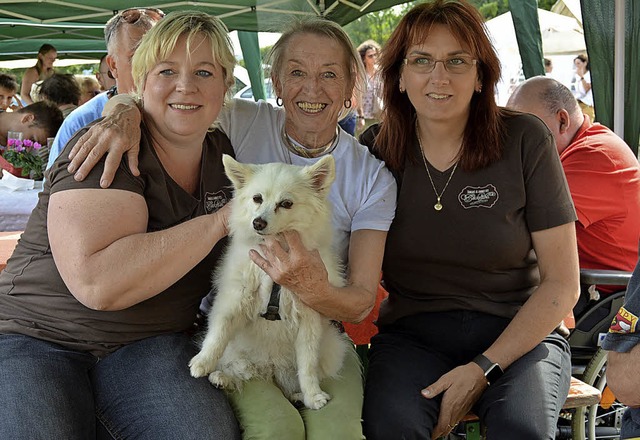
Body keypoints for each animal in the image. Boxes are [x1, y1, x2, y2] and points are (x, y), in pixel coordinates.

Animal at [190, 154, 350, 410]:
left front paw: (313, 395)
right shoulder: (233, 300)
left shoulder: (309, 322)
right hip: (239, 352)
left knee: (293, 377)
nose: (258, 223)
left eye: (286, 203)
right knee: (242, 368)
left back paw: (298, 396)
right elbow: (218, 334)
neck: (276, 253)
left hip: (332, 349)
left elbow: (307, 366)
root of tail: (270, 367)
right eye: (257, 198)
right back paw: (222, 377)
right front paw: (203, 362)